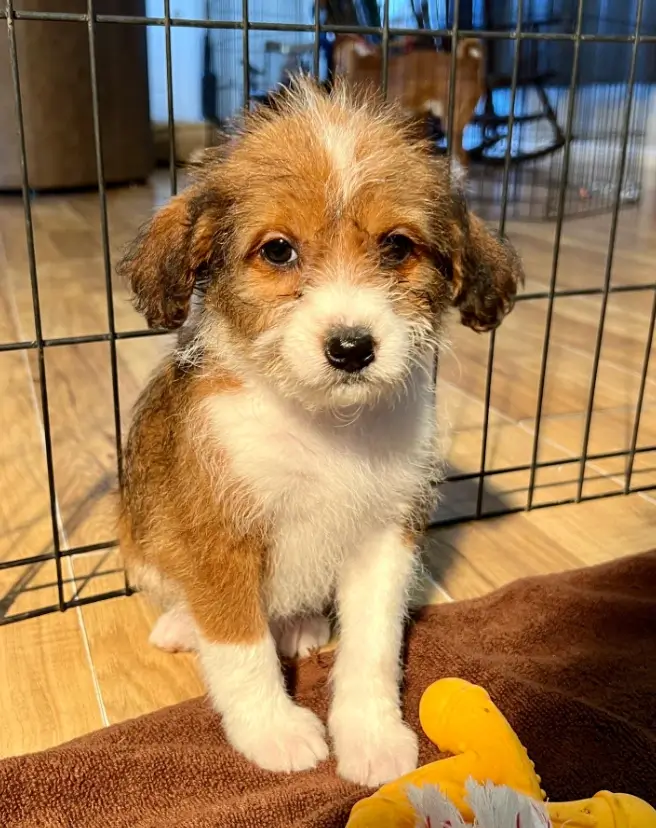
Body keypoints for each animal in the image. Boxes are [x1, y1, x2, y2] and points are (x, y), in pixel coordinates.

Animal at [118, 76, 524, 784]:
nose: (352, 348)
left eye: (396, 246)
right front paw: (273, 732)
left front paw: (370, 733)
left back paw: (301, 625)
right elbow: (241, 648)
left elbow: (373, 650)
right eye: (278, 250)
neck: (323, 427)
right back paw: (182, 625)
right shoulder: (219, 542)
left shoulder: (386, 538)